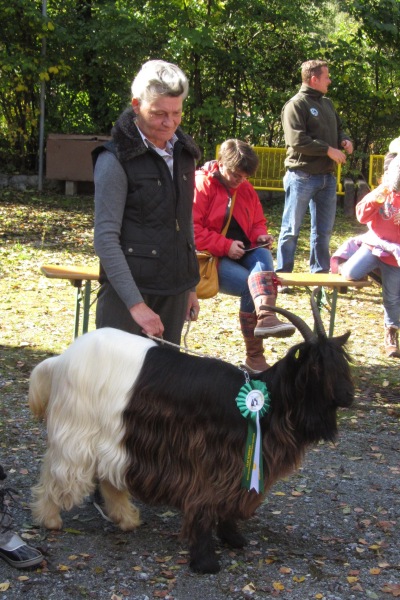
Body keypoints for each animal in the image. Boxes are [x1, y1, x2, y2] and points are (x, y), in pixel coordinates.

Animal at [28, 292, 354, 576]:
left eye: (342, 363)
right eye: (316, 366)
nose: (348, 397)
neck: (269, 400)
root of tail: (62, 359)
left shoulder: (238, 466)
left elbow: (231, 501)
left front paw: (233, 538)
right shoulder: (209, 460)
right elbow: (206, 504)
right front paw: (205, 560)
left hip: (115, 433)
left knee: (108, 476)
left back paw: (127, 519)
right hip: (78, 428)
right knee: (58, 471)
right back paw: (50, 518)